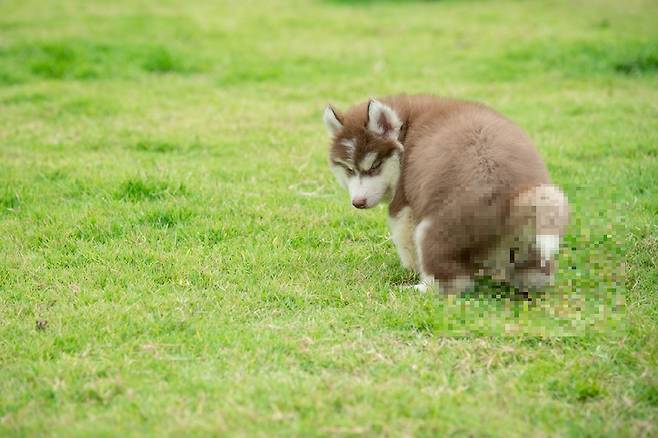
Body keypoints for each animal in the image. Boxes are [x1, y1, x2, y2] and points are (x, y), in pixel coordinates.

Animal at [324, 96, 568, 294]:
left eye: (374, 166)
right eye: (349, 169)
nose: (358, 202)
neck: (407, 128)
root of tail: (513, 199)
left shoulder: (403, 204)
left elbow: (404, 240)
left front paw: (410, 268)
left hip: (433, 230)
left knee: (455, 281)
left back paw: (419, 288)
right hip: (531, 242)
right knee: (537, 273)